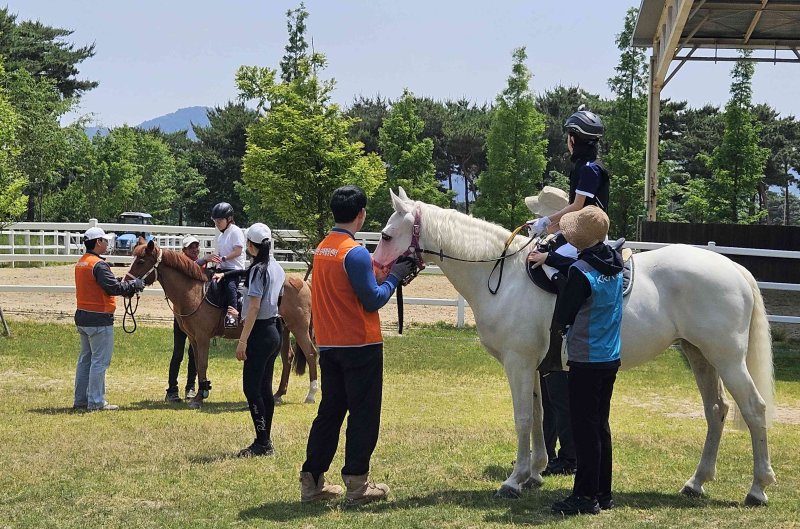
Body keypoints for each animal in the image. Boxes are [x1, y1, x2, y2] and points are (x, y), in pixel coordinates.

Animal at [130, 239, 318, 408]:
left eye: (141, 261)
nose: (126, 282)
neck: (194, 292)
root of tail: (303, 282)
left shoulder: (203, 337)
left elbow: (203, 364)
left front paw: (199, 398)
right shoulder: (193, 338)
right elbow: (197, 365)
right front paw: (200, 393)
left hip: (299, 328)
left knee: (310, 353)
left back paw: (311, 394)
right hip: (285, 330)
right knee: (288, 358)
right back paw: (278, 394)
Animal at [374, 188, 776, 506]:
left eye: (386, 235)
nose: (375, 270)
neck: (505, 275)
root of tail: (734, 269)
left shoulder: (517, 364)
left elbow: (523, 419)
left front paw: (513, 481)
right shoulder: (533, 367)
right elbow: (538, 417)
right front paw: (533, 474)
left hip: (727, 359)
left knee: (754, 409)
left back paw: (758, 488)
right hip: (699, 356)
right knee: (716, 411)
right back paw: (697, 481)